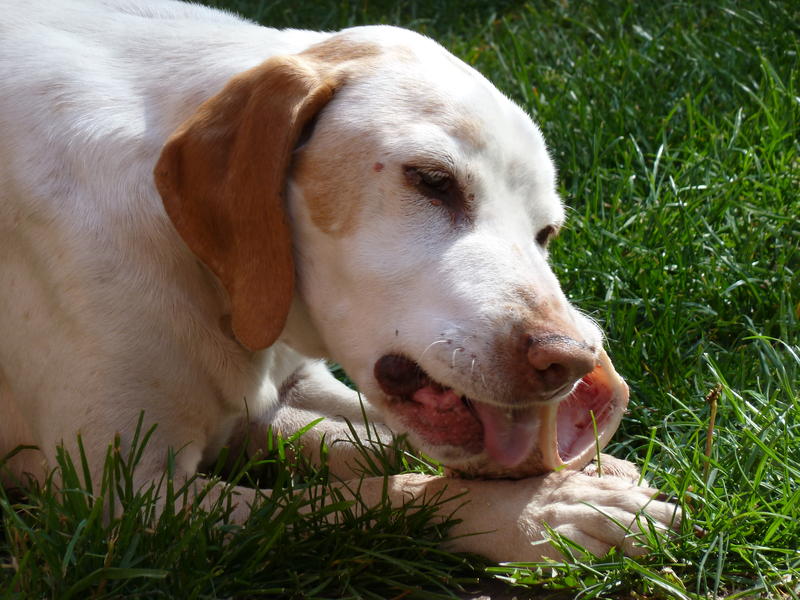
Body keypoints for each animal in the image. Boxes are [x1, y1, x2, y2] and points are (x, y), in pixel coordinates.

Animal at [0, 0, 676, 564]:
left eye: (547, 232)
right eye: (432, 181)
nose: (574, 362)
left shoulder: (287, 392)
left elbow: (376, 441)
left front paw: (582, 475)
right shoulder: (128, 503)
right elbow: (373, 495)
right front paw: (540, 513)